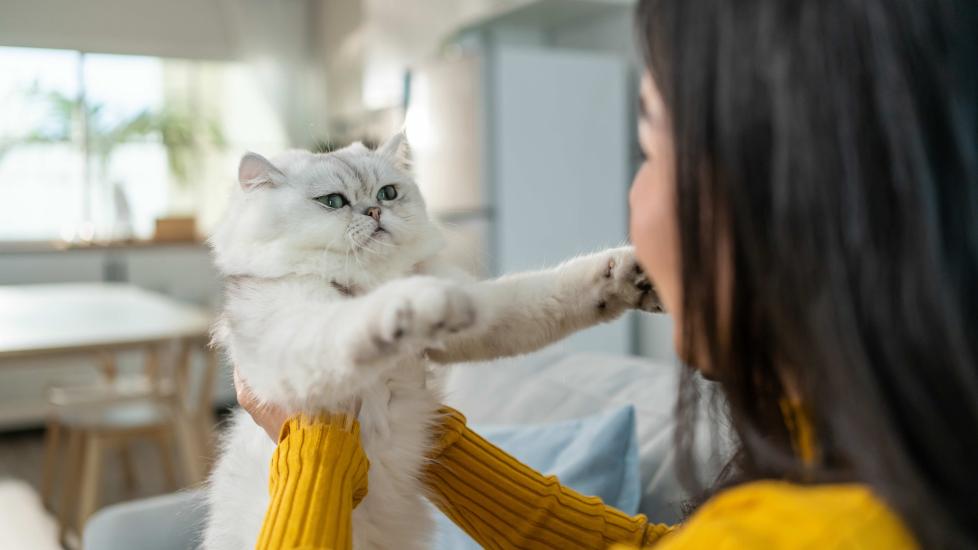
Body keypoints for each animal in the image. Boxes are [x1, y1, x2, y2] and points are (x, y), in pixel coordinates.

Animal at [204, 135, 664, 550]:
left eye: (388, 193)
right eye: (332, 201)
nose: (375, 211)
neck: (368, 279)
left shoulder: (488, 313)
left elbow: (551, 291)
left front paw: (629, 276)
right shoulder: (291, 341)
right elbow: (351, 321)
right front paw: (413, 303)